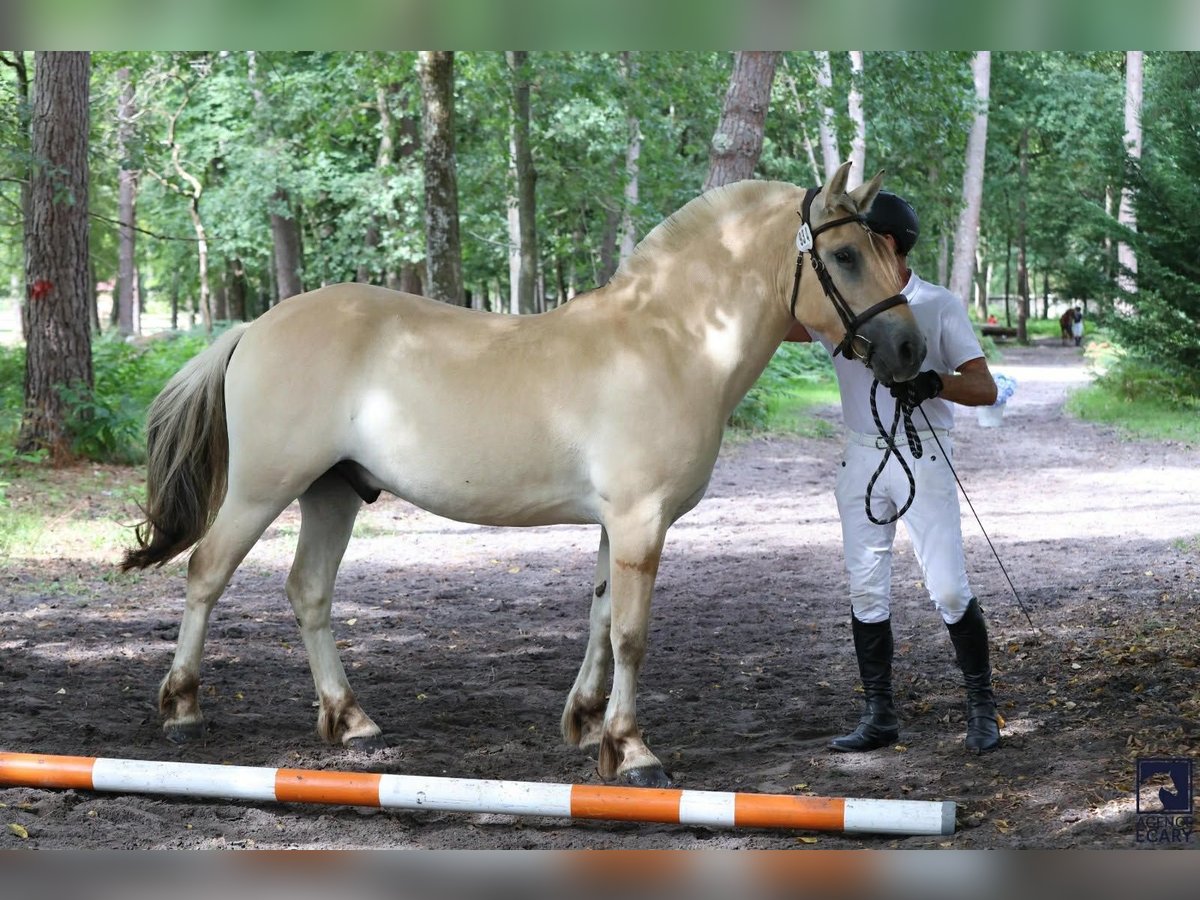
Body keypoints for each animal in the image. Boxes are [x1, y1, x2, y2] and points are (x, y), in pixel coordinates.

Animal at [121, 161, 925, 788]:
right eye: (845, 254)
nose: (911, 350)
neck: (671, 342)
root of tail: (254, 327)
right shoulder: (640, 520)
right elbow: (631, 633)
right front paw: (633, 751)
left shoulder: (616, 524)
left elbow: (599, 619)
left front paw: (587, 724)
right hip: (264, 489)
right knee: (207, 573)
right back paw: (184, 710)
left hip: (333, 492)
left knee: (308, 591)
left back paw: (350, 720)